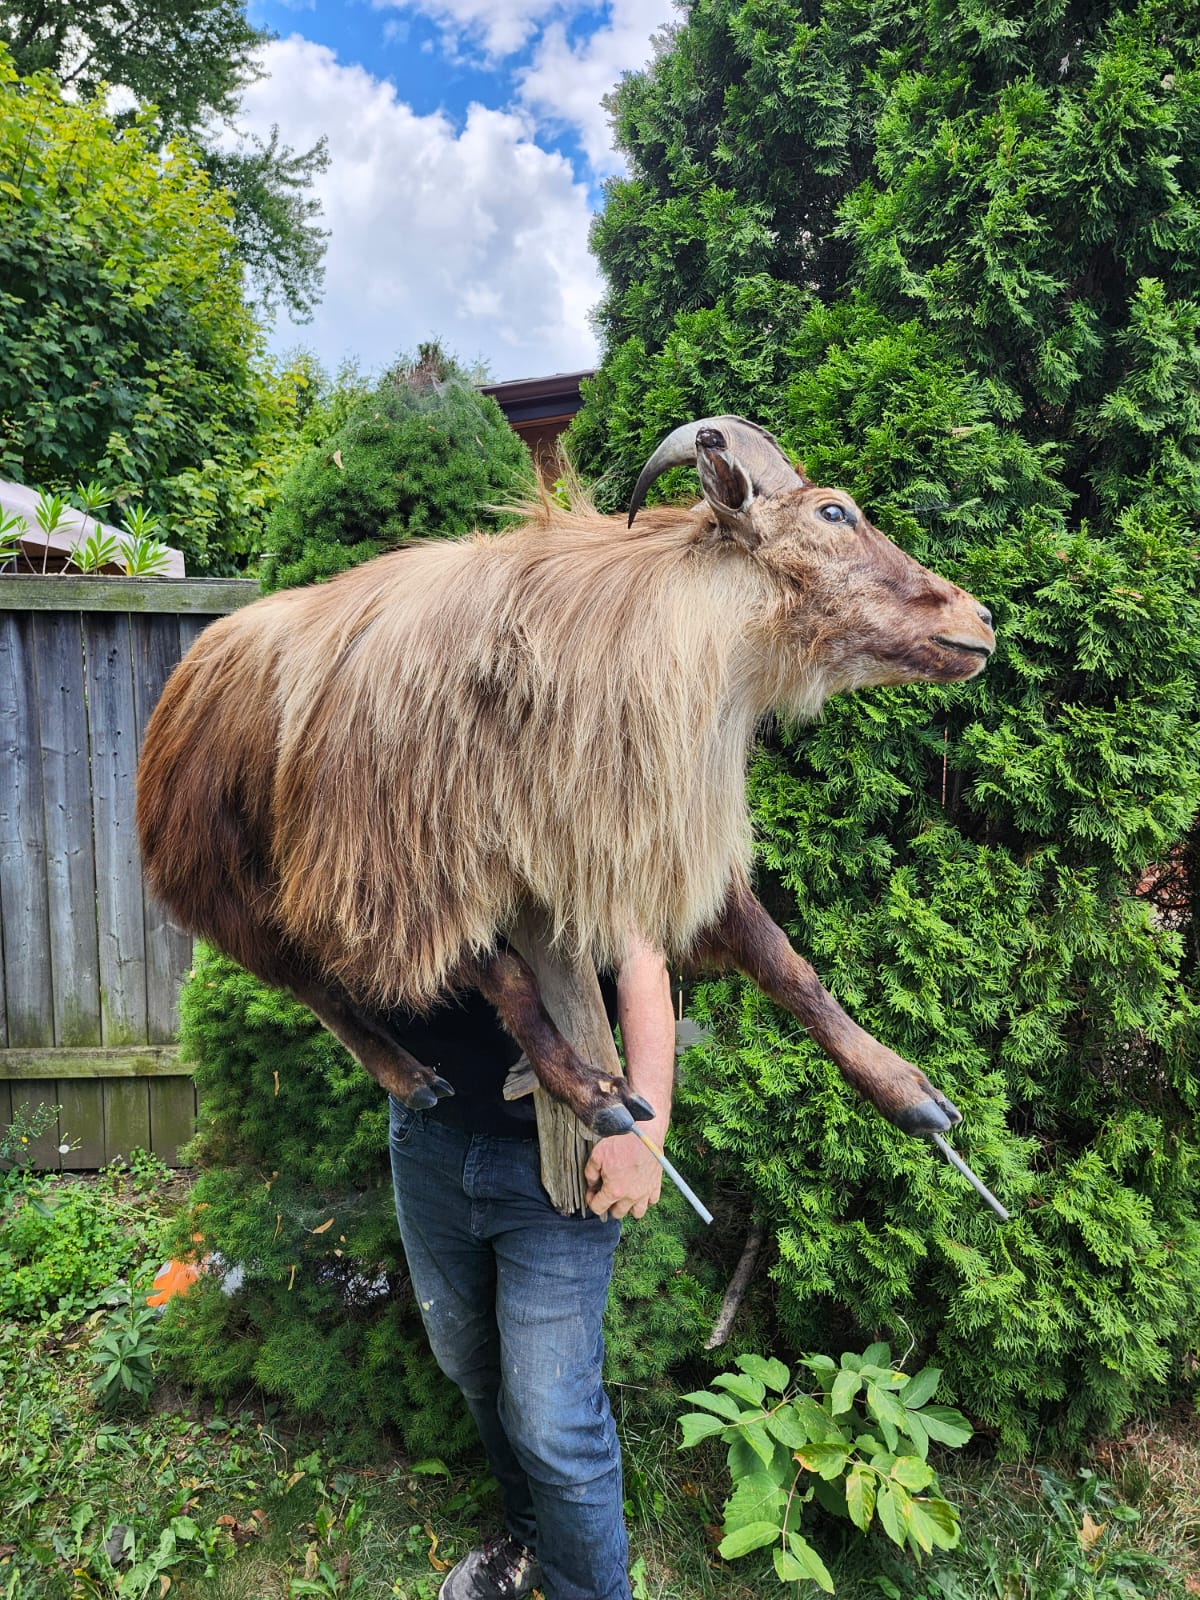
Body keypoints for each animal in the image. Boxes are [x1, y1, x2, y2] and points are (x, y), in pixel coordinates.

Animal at [136, 417, 995, 1142]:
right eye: (834, 513)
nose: (980, 621)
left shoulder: (635, 842)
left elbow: (783, 959)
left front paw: (906, 1088)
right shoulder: (406, 879)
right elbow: (511, 982)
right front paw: (593, 1093)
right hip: (232, 888)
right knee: (317, 988)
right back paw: (409, 1077)